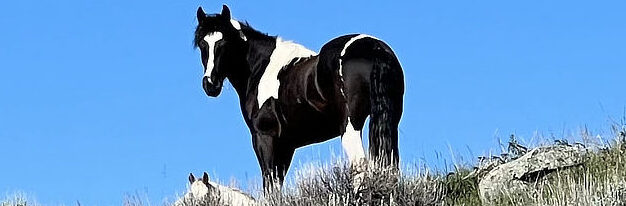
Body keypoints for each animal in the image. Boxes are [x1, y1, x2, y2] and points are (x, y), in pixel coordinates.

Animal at [193, 5, 402, 188]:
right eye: (202, 44)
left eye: (224, 43)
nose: (210, 84)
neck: (260, 68)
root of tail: (374, 48)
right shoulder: (287, 146)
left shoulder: (264, 137)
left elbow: (270, 184)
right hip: (390, 122)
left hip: (350, 126)